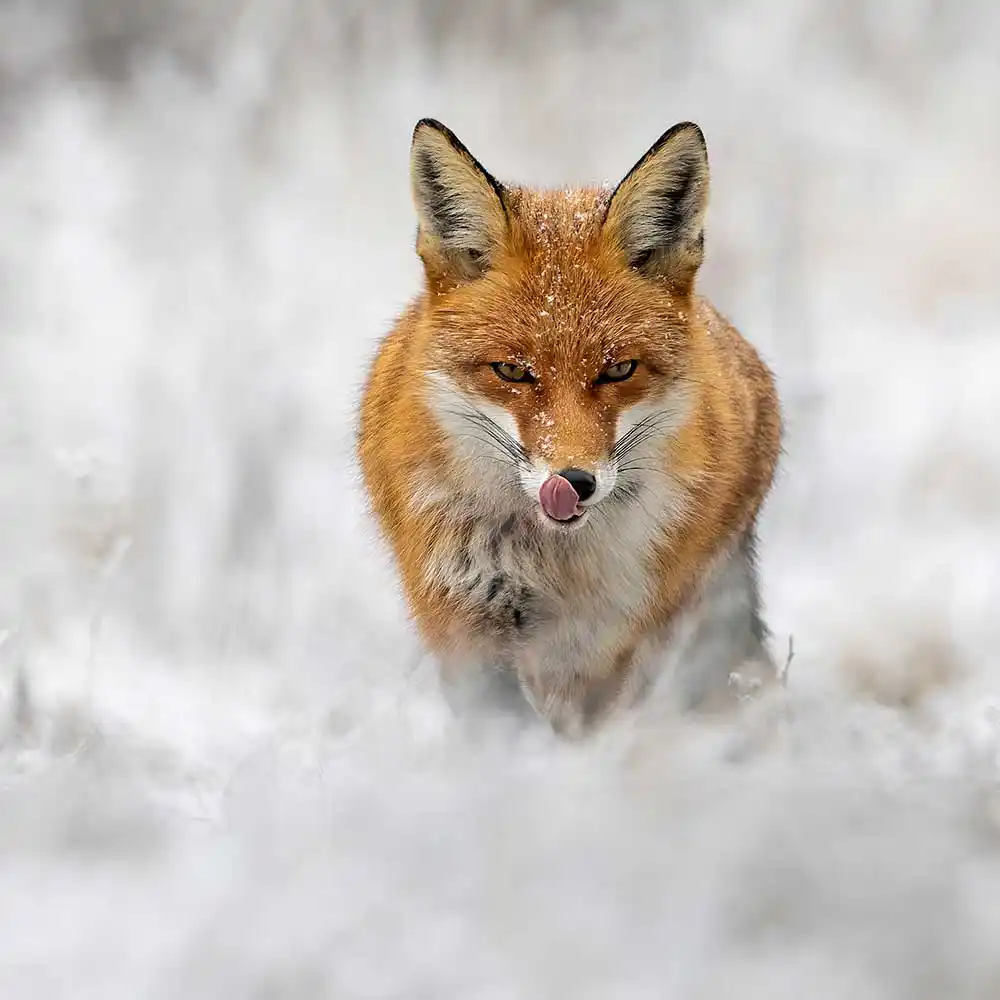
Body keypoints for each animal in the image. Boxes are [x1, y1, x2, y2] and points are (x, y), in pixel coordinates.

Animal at [358, 119, 780, 736]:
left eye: (618, 370)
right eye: (512, 371)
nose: (575, 482)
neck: (552, 562)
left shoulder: (610, 641)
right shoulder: (464, 621)